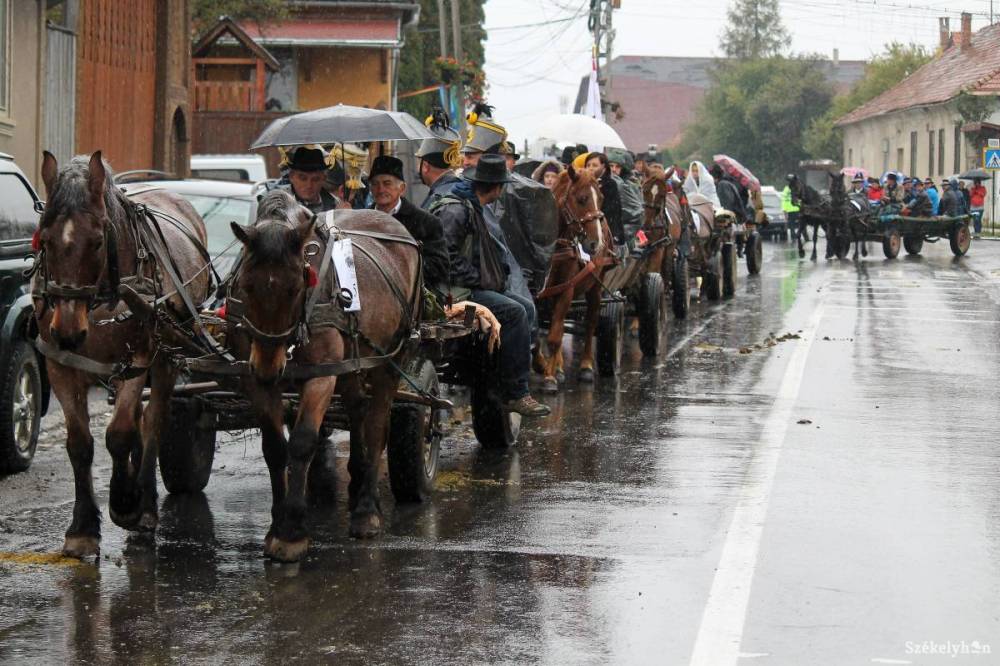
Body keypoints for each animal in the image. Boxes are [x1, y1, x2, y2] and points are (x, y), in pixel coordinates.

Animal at [33, 150, 212, 556]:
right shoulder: (60, 363)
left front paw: (126, 503)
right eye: (45, 240)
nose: (68, 331)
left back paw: (144, 502)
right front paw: (82, 528)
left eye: (98, 241)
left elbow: (119, 434)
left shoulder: (137, 361)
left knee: (154, 419)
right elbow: (80, 443)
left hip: (166, 356)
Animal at [229, 188, 420, 560]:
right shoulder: (255, 379)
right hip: (351, 361)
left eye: (294, 288)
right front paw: (276, 524)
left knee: (377, 424)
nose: (270, 366)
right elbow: (274, 447)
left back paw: (366, 510)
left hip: (392, 356)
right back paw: (358, 481)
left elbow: (303, 442)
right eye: (245, 286)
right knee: (357, 407)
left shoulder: (320, 376)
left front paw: (291, 532)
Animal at [536, 166, 612, 392]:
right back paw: (559, 367)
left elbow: (554, 336)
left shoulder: (567, 288)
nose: (596, 243)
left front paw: (549, 378)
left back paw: (585, 366)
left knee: (590, 321)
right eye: (582, 198)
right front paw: (544, 366)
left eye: (601, 197)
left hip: (596, 285)